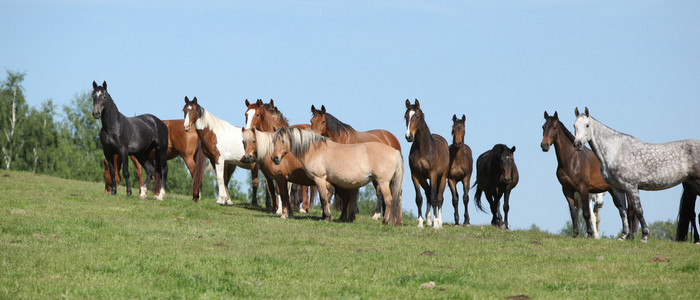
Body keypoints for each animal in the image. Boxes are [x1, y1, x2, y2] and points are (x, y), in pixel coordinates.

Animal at [272, 127, 404, 225]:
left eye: (283, 141)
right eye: (273, 141)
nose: (274, 158)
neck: (316, 150)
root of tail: (394, 151)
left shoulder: (320, 178)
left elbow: (324, 198)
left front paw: (326, 217)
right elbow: (325, 198)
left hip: (383, 182)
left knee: (389, 199)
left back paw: (384, 221)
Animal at [402, 99, 452, 229]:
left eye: (417, 116)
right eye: (405, 117)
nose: (409, 136)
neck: (423, 150)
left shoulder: (433, 174)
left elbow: (435, 198)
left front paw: (436, 224)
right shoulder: (415, 176)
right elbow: (419, 198)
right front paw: (420, 223)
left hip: (442, 177)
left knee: (439, 198)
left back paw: (439, 222)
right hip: (423, 179)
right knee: (428, 194)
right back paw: (429, 220)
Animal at [540, 110, 640, 239]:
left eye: (554, 127)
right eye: (543, 127)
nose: (544, 145)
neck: (573, 159)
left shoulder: (583, 188)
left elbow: (587, 213)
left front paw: (589, 233)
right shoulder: (567, 190)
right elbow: (573, 213)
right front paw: (575, 234)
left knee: (631, 212)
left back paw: (630, 237)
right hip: (615, 191)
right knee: (623, 210)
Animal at [576, 106, 700, 243]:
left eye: (587, 125)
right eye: (574, 125)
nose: (577, 144)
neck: (616, 150)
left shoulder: (631, 186)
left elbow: (638, 210)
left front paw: (644, 236)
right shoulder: (617, 188)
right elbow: (622, 212)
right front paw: (623, 236)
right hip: (691, 185)